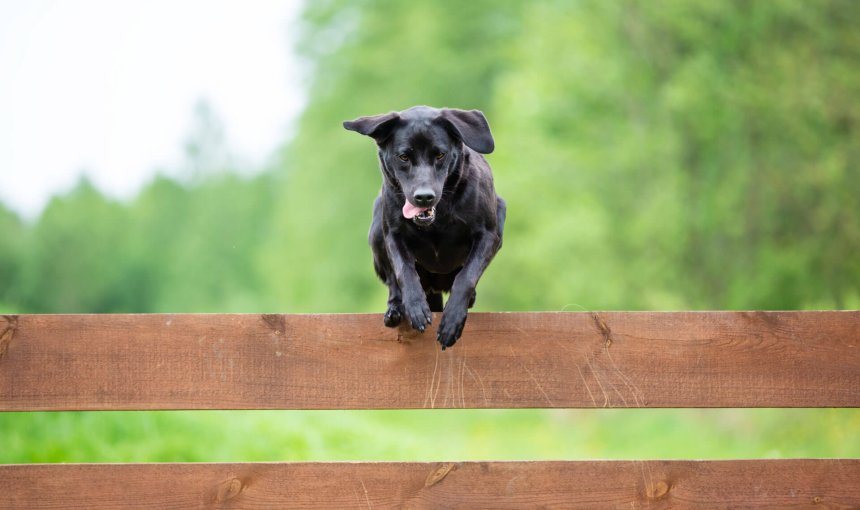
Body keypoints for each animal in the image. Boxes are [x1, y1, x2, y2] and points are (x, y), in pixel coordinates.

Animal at [342, 105, 504, 348]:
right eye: (403, 156)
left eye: (440, 155)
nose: (424, 197)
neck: (438, 218)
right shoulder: (393, 235)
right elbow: (403, 271)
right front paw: (415, 307)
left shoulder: (488, 235)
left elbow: (466, 276)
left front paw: (452, 320)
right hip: (377, 229)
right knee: (392, 282)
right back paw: (395, 309)